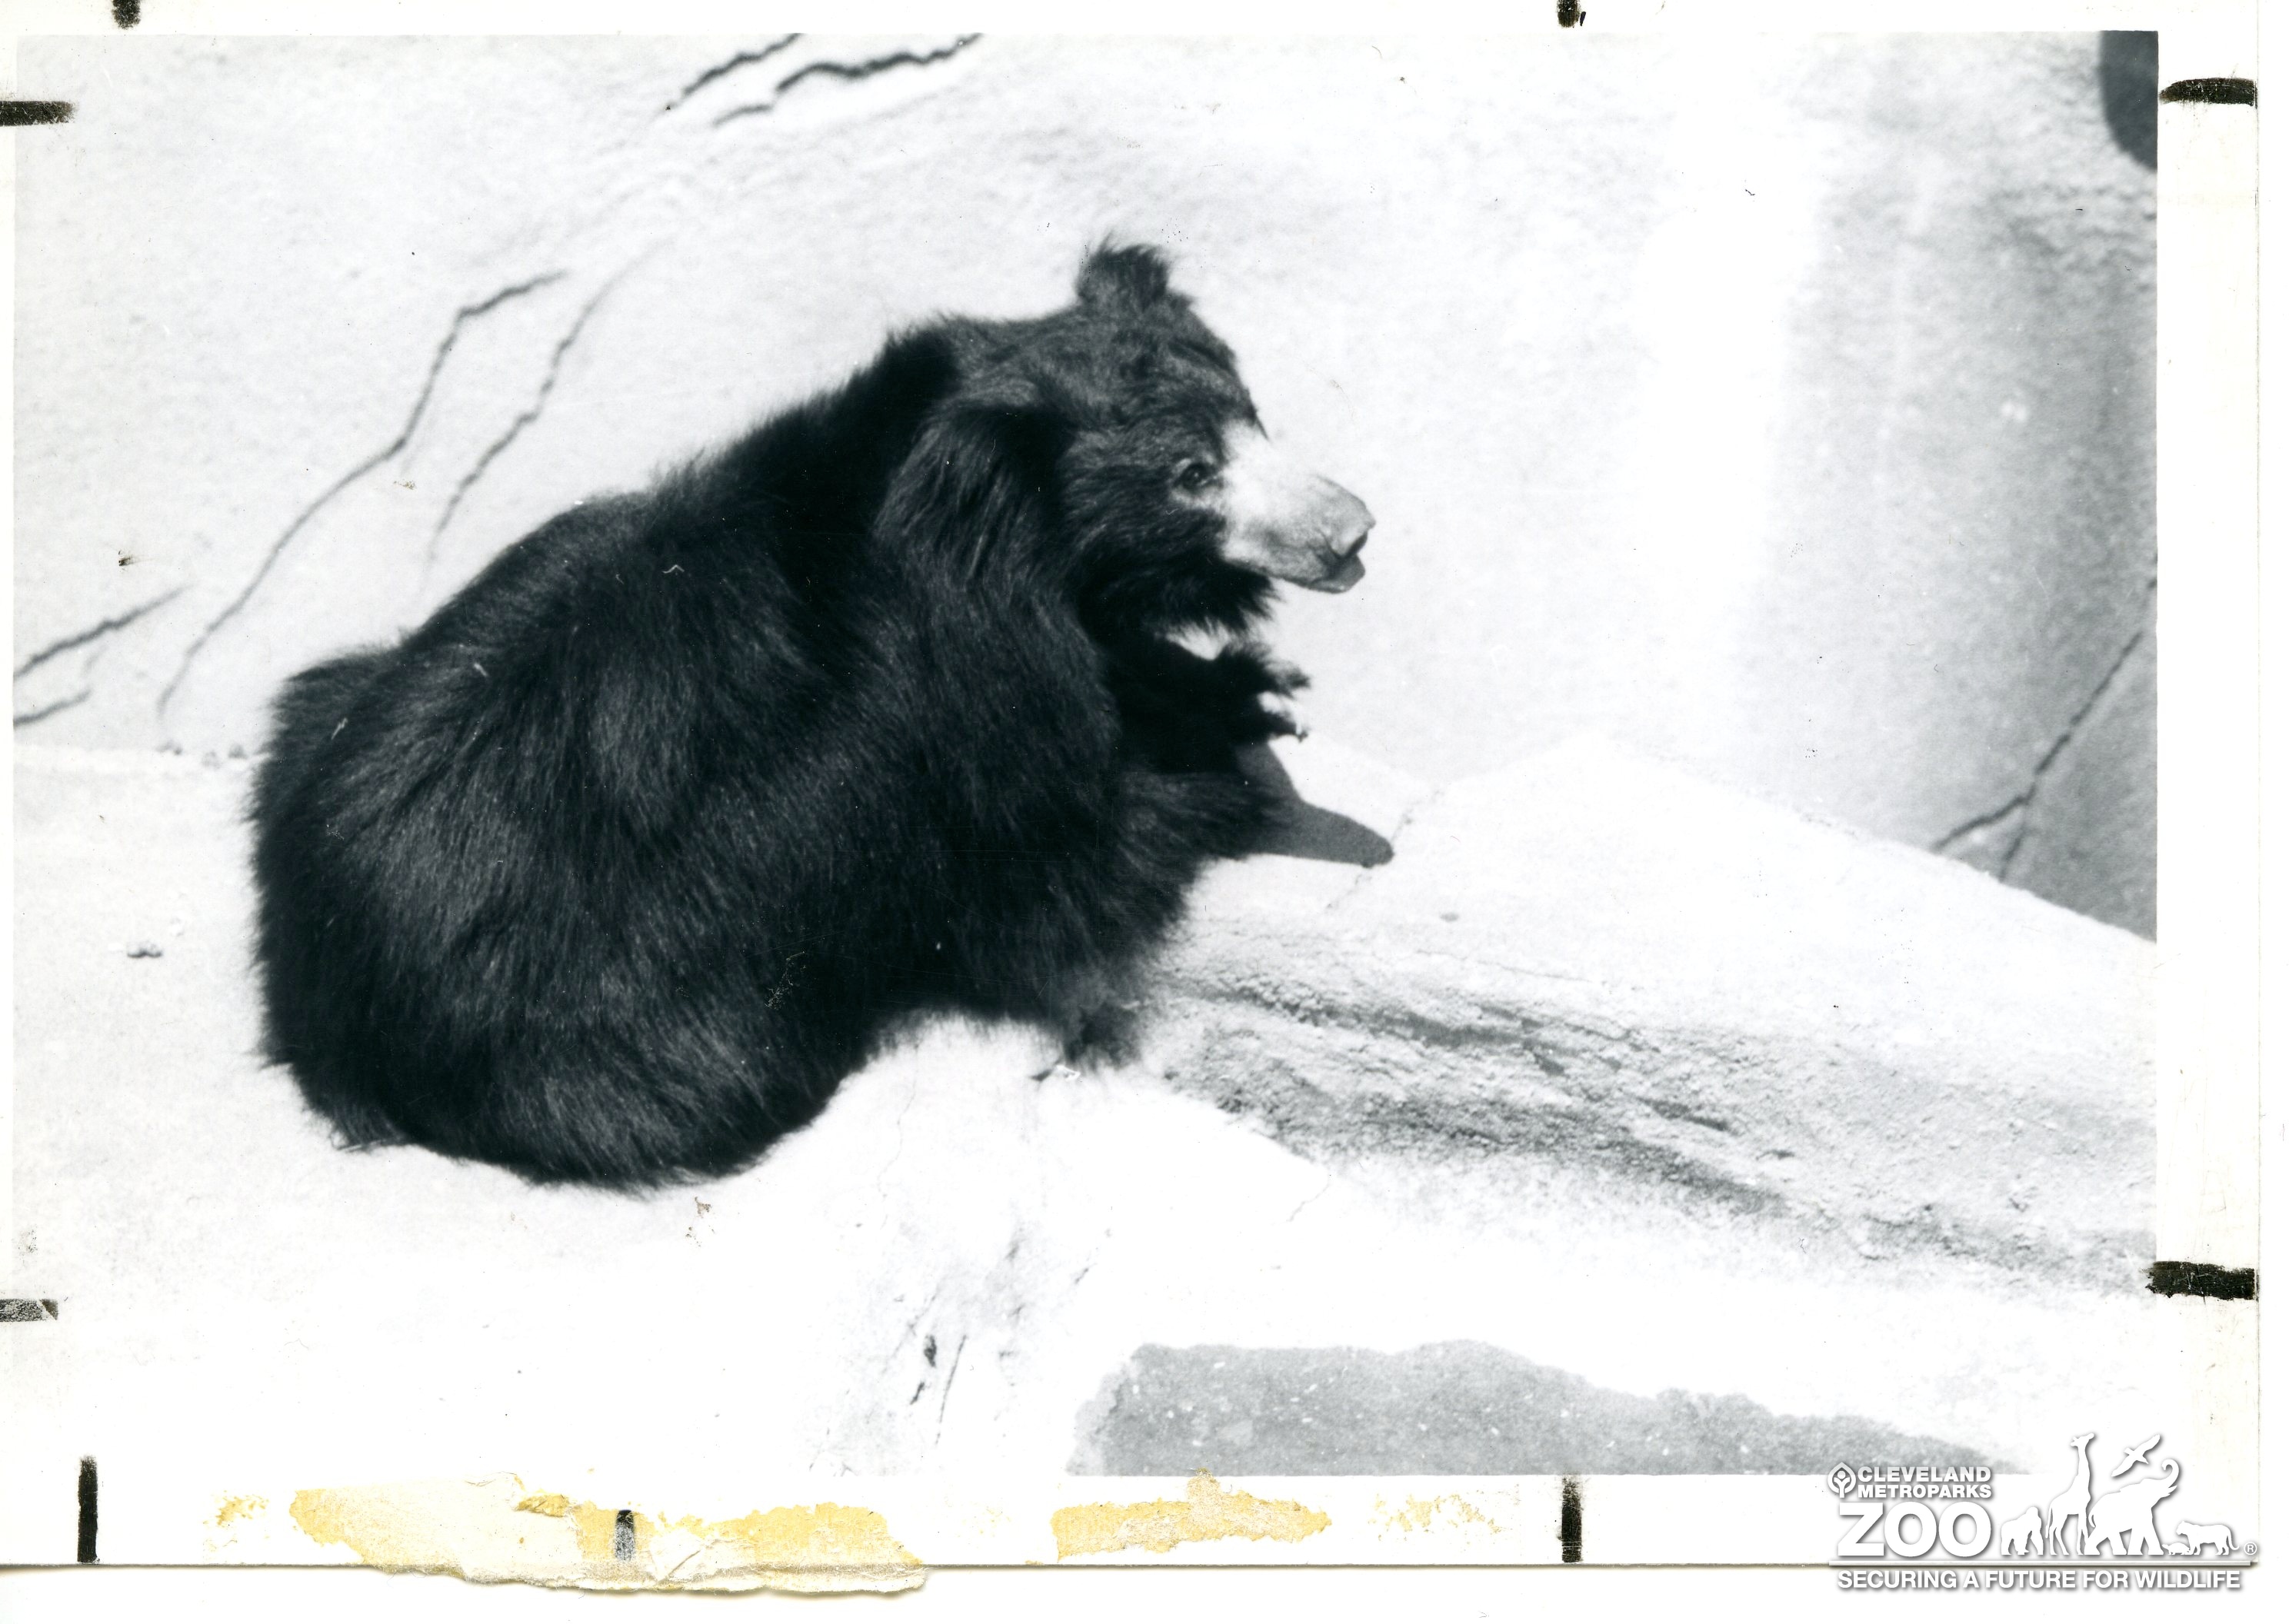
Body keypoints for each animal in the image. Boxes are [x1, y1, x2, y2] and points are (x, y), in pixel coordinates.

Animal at [249, 243, 1374, 1188]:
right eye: (1192, 474)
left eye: (1253, 417)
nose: (1354, 531)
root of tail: (322, 1020)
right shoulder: (934, 735)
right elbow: (1064, 852)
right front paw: (1227, 740)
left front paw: (1234, 688)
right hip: (639, 1020)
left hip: (325, 703)